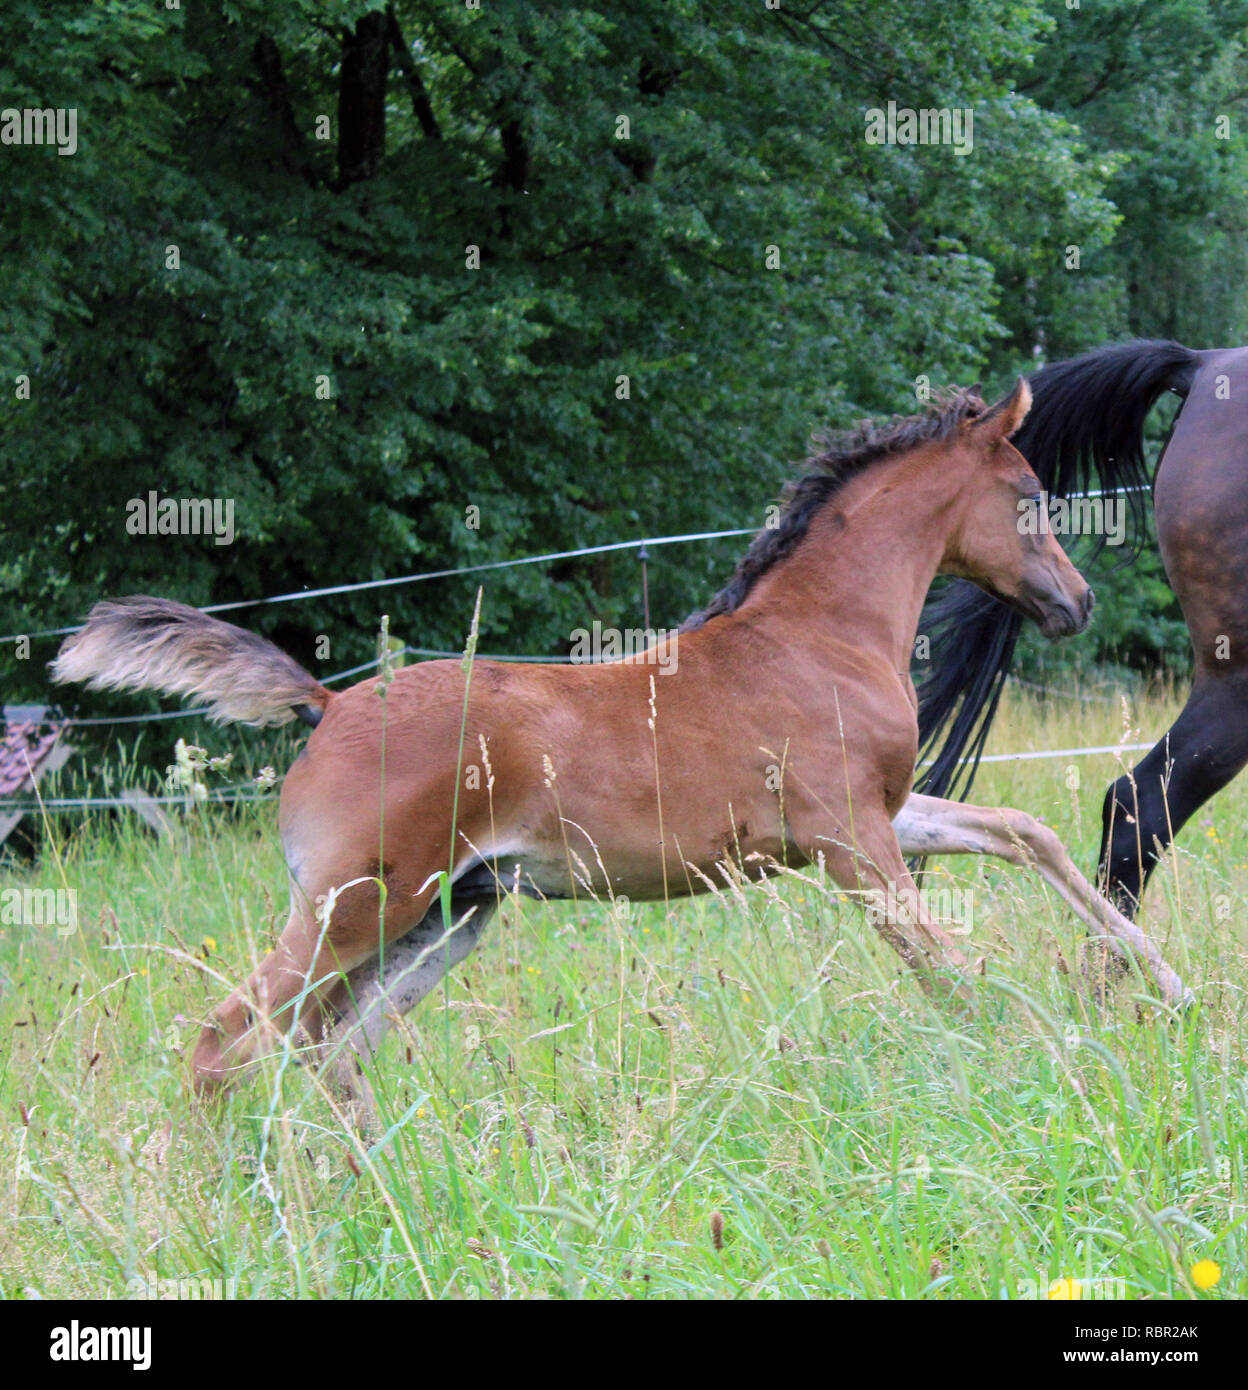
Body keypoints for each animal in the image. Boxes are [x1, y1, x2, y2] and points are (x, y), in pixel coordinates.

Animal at [50, 379, 1187, 1108]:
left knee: (327, 1052)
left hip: (447, 917)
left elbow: (1023, 829)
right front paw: (1031, 1060)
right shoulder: (849, 842)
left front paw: (1165, 983)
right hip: (351, 909)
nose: (1078, 603)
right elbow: (948, 968)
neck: (818, 631)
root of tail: (327, 708)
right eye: (1029, 497)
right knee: (225, 1045)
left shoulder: (882, 816)